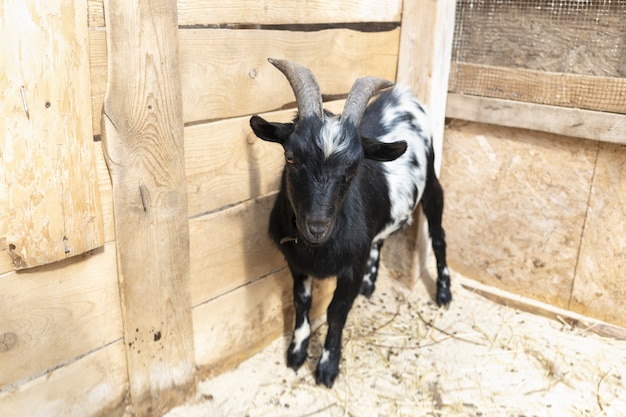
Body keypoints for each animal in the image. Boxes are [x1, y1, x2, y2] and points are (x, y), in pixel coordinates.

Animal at [247, 58, 448, 386]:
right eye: (290, 157)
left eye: (354, 167)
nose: (317, 228)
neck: (317, 249)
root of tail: (402, 95)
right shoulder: (296, 264)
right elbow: (301, 301)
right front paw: (296, 352)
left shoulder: (351, 266)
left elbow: (336, 312)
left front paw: (327, 367)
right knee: (381, 237)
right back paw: (370, 284)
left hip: (432, 182)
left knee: (439, 235)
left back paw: (444, 293)